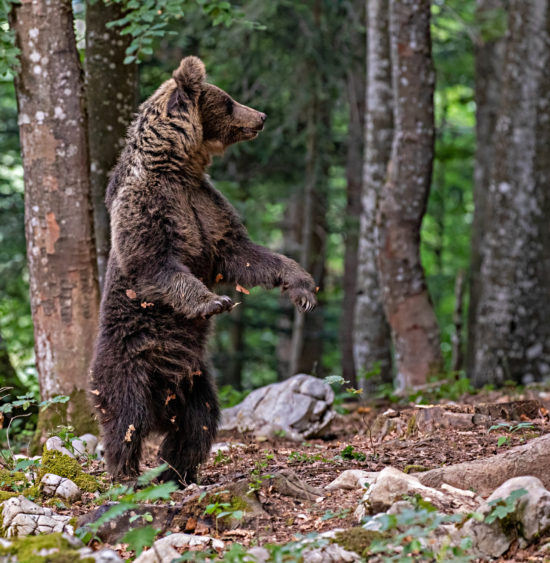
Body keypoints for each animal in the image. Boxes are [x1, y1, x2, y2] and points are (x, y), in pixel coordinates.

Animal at [90, 56, 320, 484]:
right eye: (228, 101)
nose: (261, 116)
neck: (178, 166)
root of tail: (161, 403)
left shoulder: (205, 204)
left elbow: (243, 252)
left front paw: (303, 287)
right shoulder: (148, 203)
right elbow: (155, 262)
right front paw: (215, 301)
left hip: (195, 381)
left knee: (199, 422)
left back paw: (178, 471)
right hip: (128, 362)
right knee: (125, 420)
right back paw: (126, 474)